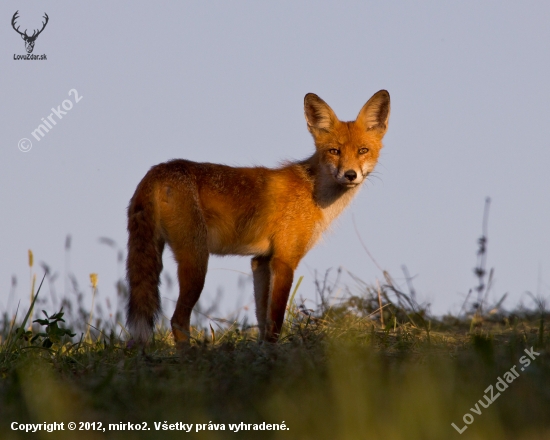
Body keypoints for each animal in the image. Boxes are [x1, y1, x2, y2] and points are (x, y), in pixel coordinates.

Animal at [127, 89, 390, 346]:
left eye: (363, 151)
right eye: (335, 151)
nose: (350, 175)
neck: (314, 192)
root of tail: (157, 170)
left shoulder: (261, 261)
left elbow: (263, 321)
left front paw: (262, 353)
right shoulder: (284, 260)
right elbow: (276, 321)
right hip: (197, 261)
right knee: (177, 320)